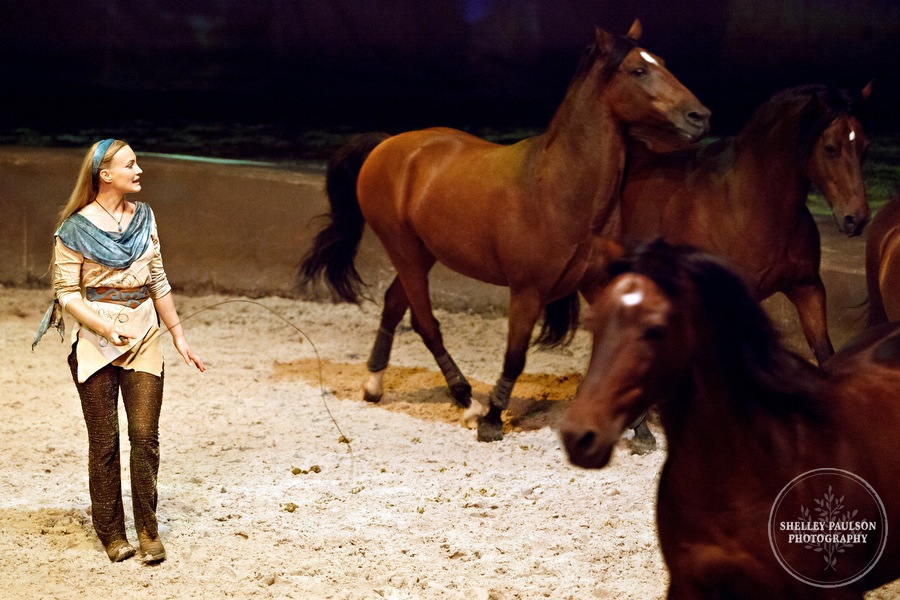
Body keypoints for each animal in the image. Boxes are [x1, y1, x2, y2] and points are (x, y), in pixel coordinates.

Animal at [300, 21, 712, 440]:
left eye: (661, 61)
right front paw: (493, 420)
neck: (560, 190)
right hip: (404, 251)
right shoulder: (527, 292)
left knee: (395, 305)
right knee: (426, 323)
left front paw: (639, 428)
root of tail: (386, 145)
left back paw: (375, 385)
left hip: (422, 253)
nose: (700, 116)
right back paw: (468, 402)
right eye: (638, 70)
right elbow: (515, 357)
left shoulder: (598, 282)